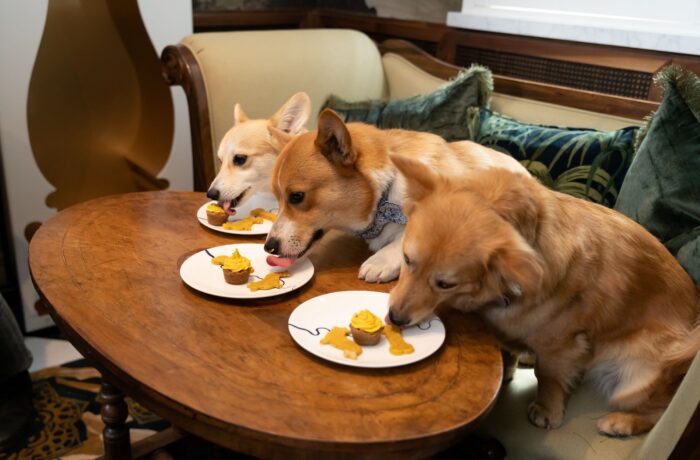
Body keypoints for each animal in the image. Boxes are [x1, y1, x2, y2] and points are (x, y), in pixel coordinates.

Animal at [266, 109, 528, 282]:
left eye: (297, 196)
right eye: (276, 197)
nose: (268, 247)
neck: (385, 195)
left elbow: (406, 239)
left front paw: (381, 261)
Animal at [386, 154, 700, 434]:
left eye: (445, 284)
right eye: (407, 259)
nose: (394, 318)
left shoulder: (559, 343)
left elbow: (548, 375)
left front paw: (547, 409)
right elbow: (509, 350)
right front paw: (509, 368)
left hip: (638, 375)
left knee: (659, 411)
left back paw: (622, 422)